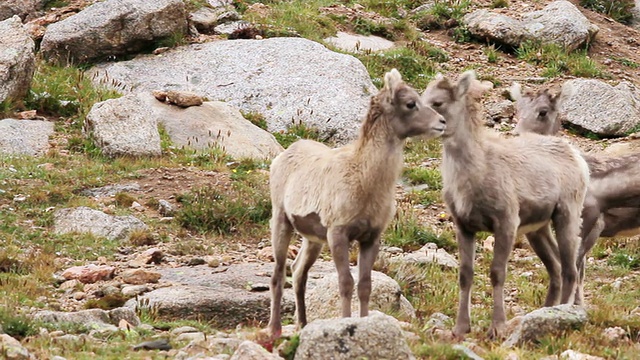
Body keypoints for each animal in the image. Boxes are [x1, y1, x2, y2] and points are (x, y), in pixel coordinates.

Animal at [264, 69, 444, 338]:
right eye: (411, 103)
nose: (442, 122)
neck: (364, 179)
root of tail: (283, 156)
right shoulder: (338, 234)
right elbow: (346, 283)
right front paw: (346, 322)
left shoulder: (370, 237)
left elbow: (365, 285)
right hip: (281, 221)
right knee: (278, 274)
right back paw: (275, 330)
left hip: (313, 240)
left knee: (298, 272)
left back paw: (303, 326)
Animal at [420, 71, 592, 340]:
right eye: (420, 97)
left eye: (437, 102)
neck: (474, 174)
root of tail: (578, 159)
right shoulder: (464, 226)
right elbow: (465, 275)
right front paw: (460, 329)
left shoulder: (506, 223)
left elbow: (497, 273)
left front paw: (497, 328)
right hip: (538, 229)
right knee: (555, 266)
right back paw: (544, 312)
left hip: (567, 216)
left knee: (570, 269)